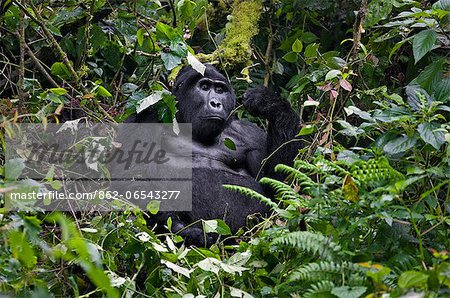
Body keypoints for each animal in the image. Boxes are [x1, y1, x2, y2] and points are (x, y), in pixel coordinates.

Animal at [125, 65, 300, 244]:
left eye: (220, 90)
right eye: (204, 87)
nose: (216, 103)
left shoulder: (252, 135)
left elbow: (277, 187)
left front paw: (270, 104)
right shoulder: (145, 117)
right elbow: (131, 179)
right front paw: (185, 231)